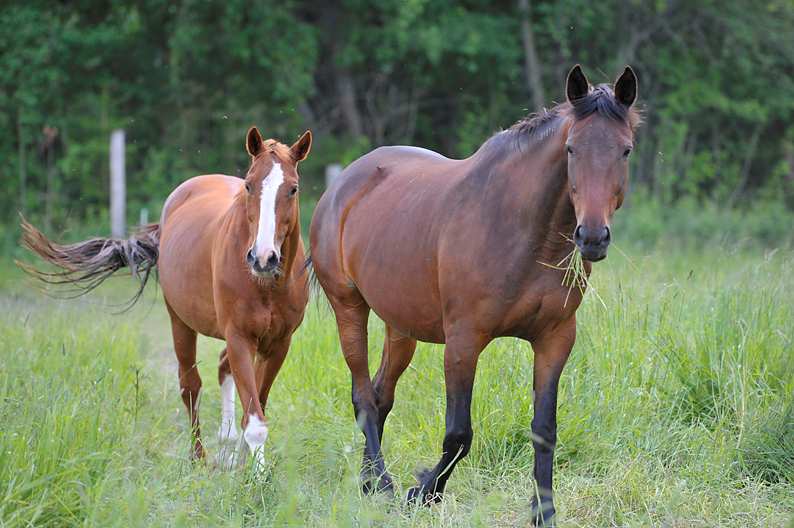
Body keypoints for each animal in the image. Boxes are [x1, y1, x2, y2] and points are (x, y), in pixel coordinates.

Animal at [21, 127, 312, 466]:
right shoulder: (240, 337)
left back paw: (225, 443)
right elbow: (254, 420)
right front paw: (256, 475)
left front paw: (245, 463)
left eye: (292, 189)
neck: (265, 284)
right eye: (249, 185)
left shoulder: (278, 343)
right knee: (190, 386)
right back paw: (198, 457)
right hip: (180, 323)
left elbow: (258, 408)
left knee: (221, 368)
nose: (263, 258)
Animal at [310, 66, 636, 524]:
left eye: (625, 150)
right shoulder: (464, 342)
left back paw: (369, 482)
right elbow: (459, 433)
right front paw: (422, 492)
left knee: (380, 394)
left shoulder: (555, 340)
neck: (524, 234)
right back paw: (385, 486)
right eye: (571, 149)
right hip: (349, 307)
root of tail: (343, 184)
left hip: (400, 327)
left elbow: (545, 429)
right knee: (362, 396)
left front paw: (544, 512)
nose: (591, 237)